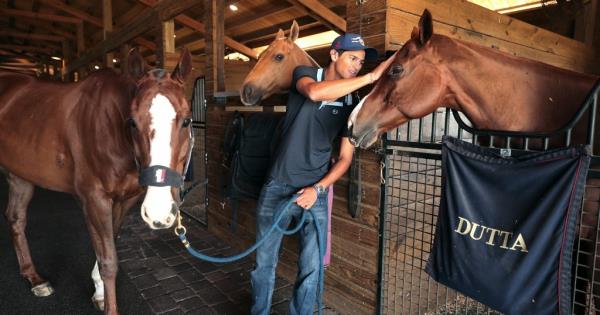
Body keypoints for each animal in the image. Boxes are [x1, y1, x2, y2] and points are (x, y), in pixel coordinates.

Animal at [0, 48, 192, 314]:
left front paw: (99, 292)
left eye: (186, 121)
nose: (159, 213)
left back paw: (34, 278)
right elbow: (109, 261)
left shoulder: (124, 200)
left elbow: (110, 244)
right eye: (132, 121)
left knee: (16, 219)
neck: (110, 127)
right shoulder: (94, 199)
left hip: (21, 176)